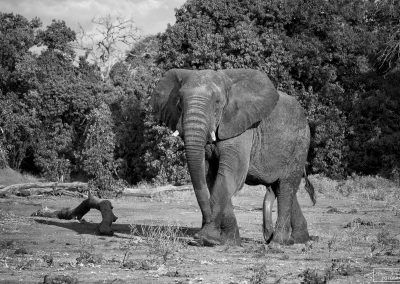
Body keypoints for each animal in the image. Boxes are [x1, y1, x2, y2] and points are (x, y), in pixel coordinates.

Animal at [152, 68, 316, 246]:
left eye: (217, 102)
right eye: (180, 102)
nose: (198, 234)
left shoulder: (243, 128)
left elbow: (231, 174)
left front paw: (206, 238)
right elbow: (211, 176)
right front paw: (228, 241)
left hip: (300, 144)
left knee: (287, 186)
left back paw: (277, 243)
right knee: (281, 188)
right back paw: (297, 239)